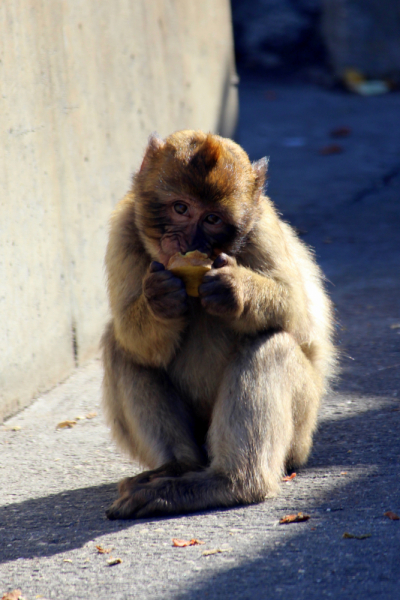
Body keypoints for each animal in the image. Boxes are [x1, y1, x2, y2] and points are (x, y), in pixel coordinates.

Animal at [101, 129, 336, 516]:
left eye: (212, 219)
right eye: (181, 208)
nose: (190, 242)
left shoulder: (263, 227)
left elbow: (298, 316)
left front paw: (232, 289)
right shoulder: (123, 231)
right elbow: (137, 344)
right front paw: (161, 299)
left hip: (302, 430)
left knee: (270, 344)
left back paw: (230, 484)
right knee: (121, 347)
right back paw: (178, 468)